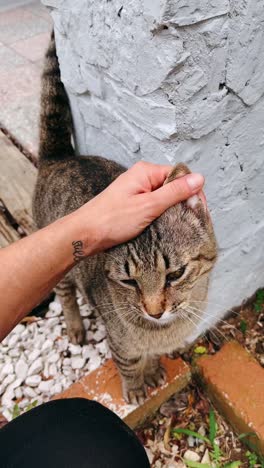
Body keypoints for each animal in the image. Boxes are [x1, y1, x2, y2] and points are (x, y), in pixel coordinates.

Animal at [33, 33, 218, 404]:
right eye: (129, 281)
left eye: (175, 274)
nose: (154, 311)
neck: (166, 329)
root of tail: (59, 157)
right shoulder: (121, 342)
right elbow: (129, 362)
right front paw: (135, 388)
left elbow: (150, 356)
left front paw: (154, 370)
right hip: (58, 270)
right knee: (65, 296)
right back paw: (76, 326)